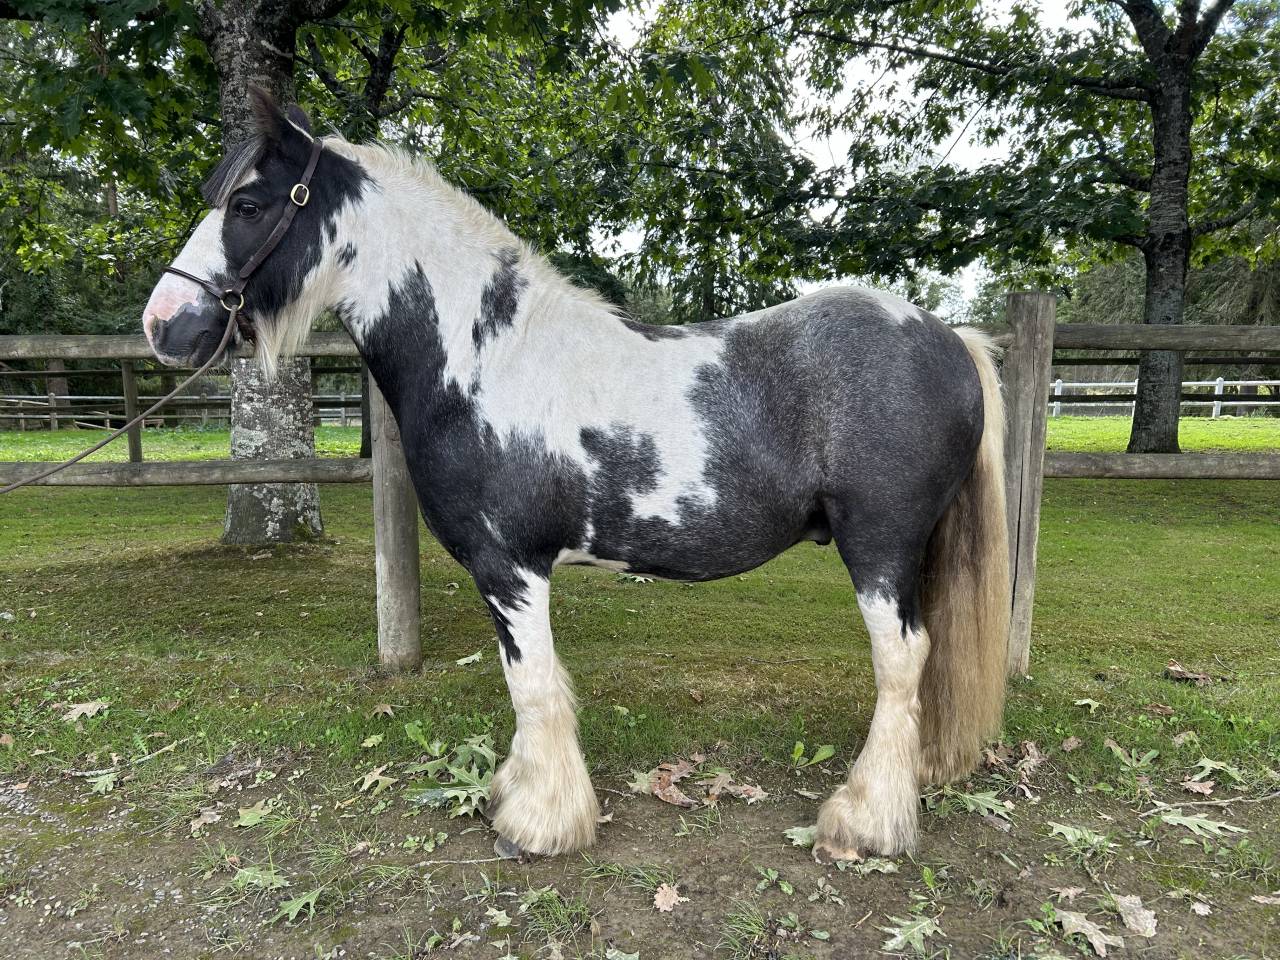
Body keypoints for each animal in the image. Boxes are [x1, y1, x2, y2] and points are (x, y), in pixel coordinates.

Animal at [143, 89, 1011, 863]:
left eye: (248, 203)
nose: (162, 325)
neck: (485, 357)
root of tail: (950, 338)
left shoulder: (510, 567)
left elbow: (532, 685)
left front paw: (539, 823)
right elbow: (531, 688)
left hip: (879, 547)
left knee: (901, 662)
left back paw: (864, 822)